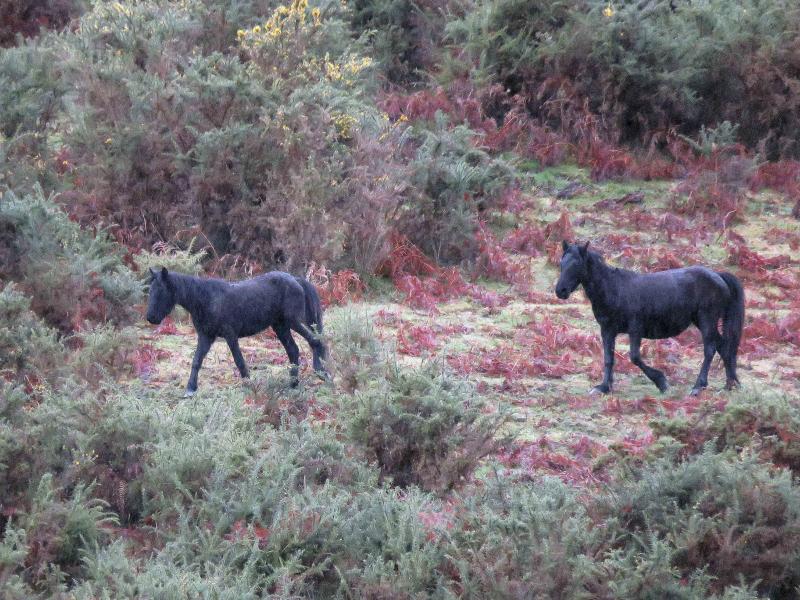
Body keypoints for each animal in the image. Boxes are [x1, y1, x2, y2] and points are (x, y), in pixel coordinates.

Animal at [145, 267, 328, 395]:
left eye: (161, 290)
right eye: (150, 290)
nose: (151, 318)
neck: (206, 299)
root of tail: (296, 280)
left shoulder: (230, 335)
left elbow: (239, 362)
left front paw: (249, 386)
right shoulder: (205, 336)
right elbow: (197, 361)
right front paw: (190, 389)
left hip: (293, 321)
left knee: (315, 341)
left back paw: (322, 373)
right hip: (280, 326)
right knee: (294, 350)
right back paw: (293, 384)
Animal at [555, 241, 744, 396]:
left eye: (577, 264)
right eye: (562, 263)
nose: (560, 291)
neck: (615, 289)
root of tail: (718, 275)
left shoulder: (635, 329)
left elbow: (635, 357)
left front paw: (661, 382)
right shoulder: (607, 330)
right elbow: (608, 358)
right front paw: (603, 387)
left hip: (707, 320)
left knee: (710, 350)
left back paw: (698, 387)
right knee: (723, 346)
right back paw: (731, 384)